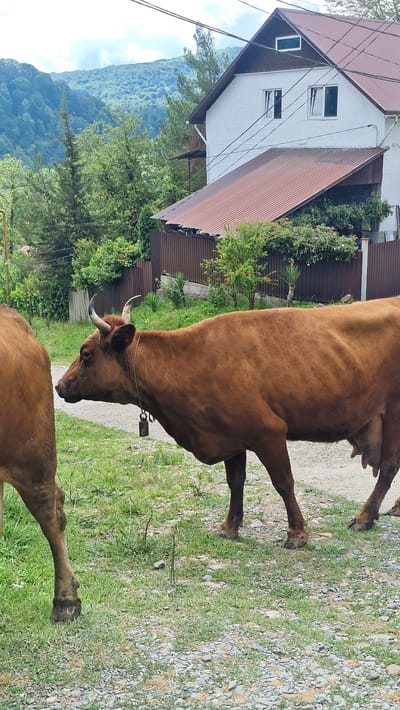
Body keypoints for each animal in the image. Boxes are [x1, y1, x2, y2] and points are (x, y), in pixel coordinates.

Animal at [56, 295, 400, 549]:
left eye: (86, 354)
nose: (58, 386)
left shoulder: (268, 432)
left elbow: (284, 482)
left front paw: (297, 533)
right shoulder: (229, 437)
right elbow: (235, 481)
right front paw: (230, 526)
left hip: (394, 413)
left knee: (389, 466)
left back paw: (365, 516)